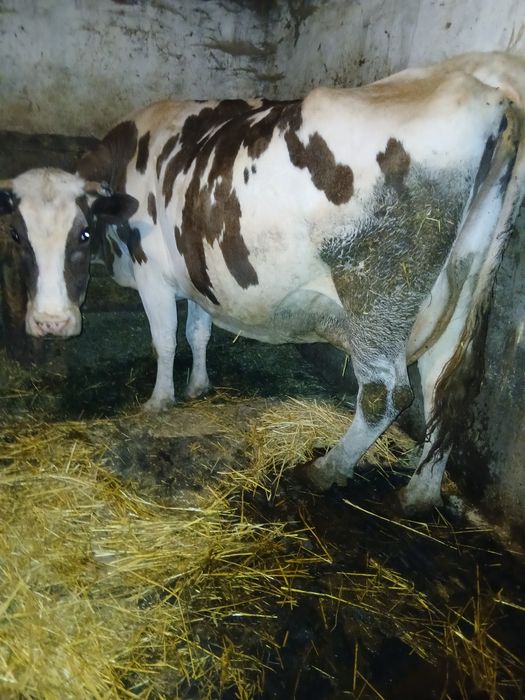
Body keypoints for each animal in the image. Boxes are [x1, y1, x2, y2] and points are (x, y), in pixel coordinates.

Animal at [1, 51, 524, 512]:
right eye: (17, 236)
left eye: (83, 233)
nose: (50, 323)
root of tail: (487, 84)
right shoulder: (197, 268)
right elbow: (198, 330)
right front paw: (198, 385)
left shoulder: (152, 270)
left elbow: (165, 339)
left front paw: (159, 401)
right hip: (460, 285)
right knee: (444, 387)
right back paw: (419, 494)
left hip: (380, 293)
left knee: (386, 392)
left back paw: (328, 468)